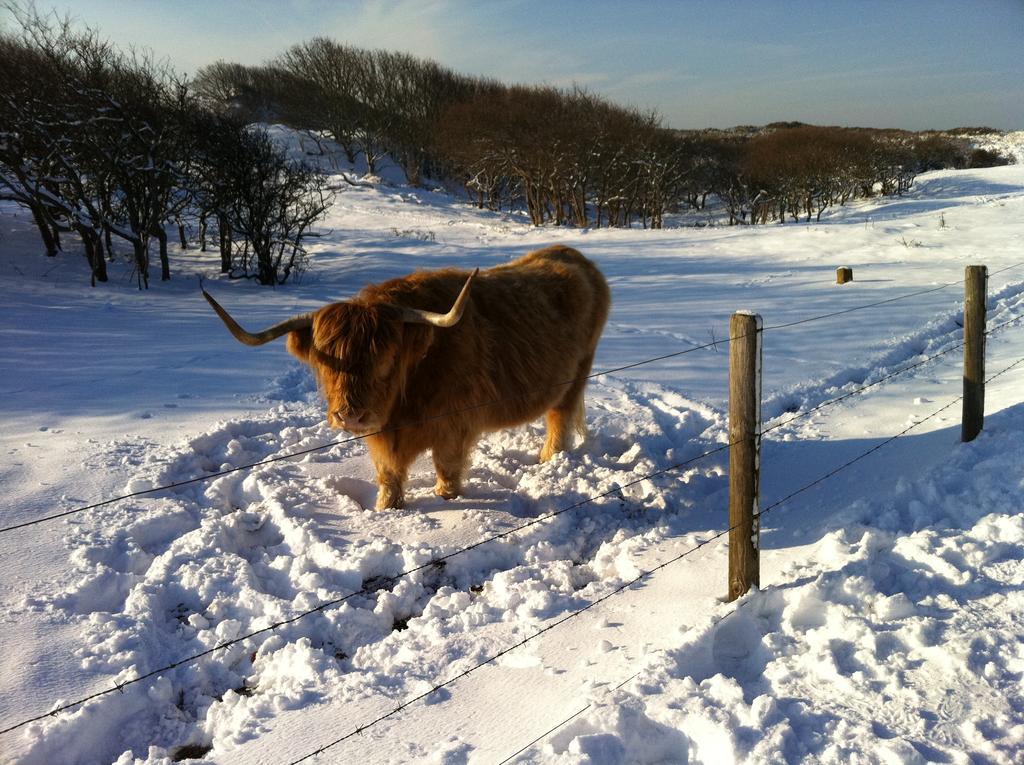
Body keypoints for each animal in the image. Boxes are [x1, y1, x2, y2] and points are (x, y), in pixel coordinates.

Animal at [203, 245, 610, 507]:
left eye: (385, 359)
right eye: (325, 361)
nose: (351, 415)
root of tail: (571, 254)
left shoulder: (454, 427)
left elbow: (447, 473)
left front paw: (445, 500)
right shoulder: (383, 437)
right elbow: (388, 475)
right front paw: (387, 508)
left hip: (575, 375)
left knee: (560, 417)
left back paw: (549, 458)